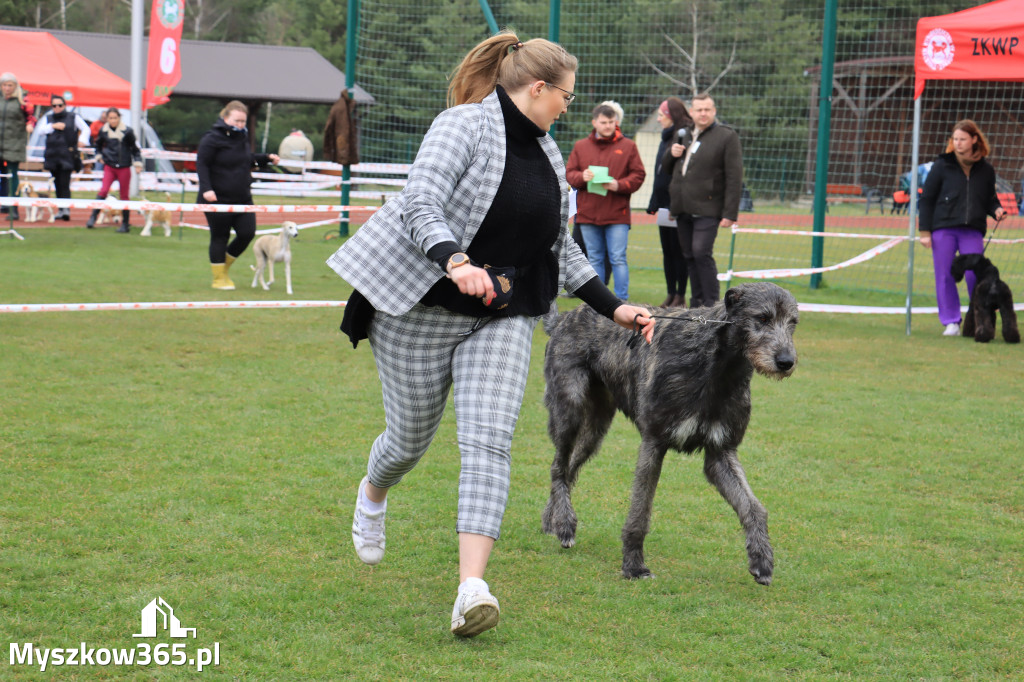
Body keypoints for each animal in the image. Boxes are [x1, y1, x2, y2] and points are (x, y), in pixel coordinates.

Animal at [540, 280, 794, 585]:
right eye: (763, 318)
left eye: (793, 322)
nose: (786, 361)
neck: (716, 364)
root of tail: (564, 319)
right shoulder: (653, 442)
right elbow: (640, 511)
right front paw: (634, 566)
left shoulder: (721, 451)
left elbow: (753, 507)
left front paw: (761, 560)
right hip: (570, 408)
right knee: (558, 465)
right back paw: (565, 524)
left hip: (596, 428)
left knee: (569, 468)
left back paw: (552, 519)